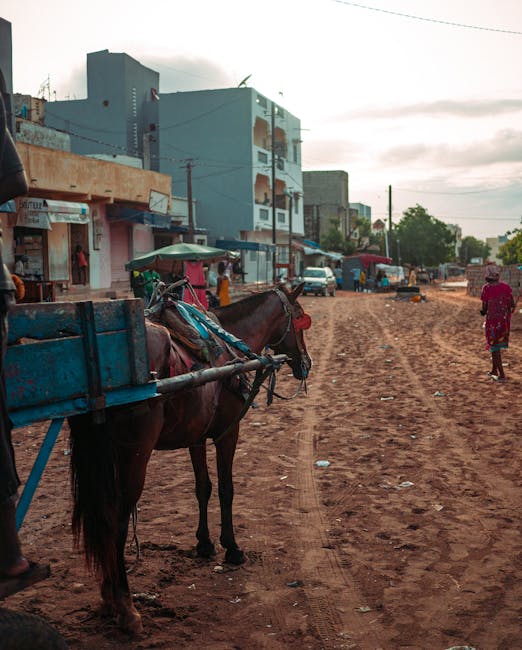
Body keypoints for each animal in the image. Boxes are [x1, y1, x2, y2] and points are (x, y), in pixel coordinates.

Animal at [70, 282, 310, 628]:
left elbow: (203, 488)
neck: (232, 346)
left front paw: (205, 543)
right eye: (301, 319)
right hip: (133, 455)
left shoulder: (196, 436)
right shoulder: (227, 434)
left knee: (102, 515)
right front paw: (232, 547)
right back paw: (125, 605)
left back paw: (107, 596)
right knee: (117, 517)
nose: (306, 363)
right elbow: (226, 489)